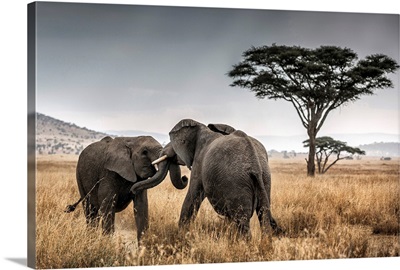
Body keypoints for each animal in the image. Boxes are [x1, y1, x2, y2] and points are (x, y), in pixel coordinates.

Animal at [131, 119, 278, 237]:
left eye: (175, 145)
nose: (132, 190)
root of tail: (255, 165)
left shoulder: (199, 161)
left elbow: (192, 196)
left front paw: (182, 237)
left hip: (238, 183)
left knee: (242, 220)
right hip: (265, 179)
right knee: (263, 215)